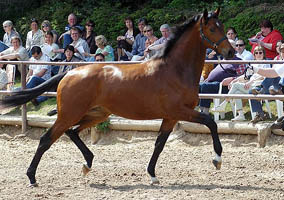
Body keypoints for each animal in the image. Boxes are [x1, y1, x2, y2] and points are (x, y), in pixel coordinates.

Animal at [0, 7, 234, 186]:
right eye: (212, 28)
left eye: (222, 27)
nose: (230, 52)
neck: (175, 70)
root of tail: (69, 73)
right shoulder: (179, 111)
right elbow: (211, 122)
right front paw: (217, 159)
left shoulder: (171, 117)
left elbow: (159, 144)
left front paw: (152, 175)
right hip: (70, 114)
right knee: (46, 139)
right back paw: (32, 177)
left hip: (96, 114)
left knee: (72, 133)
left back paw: (87, 164)